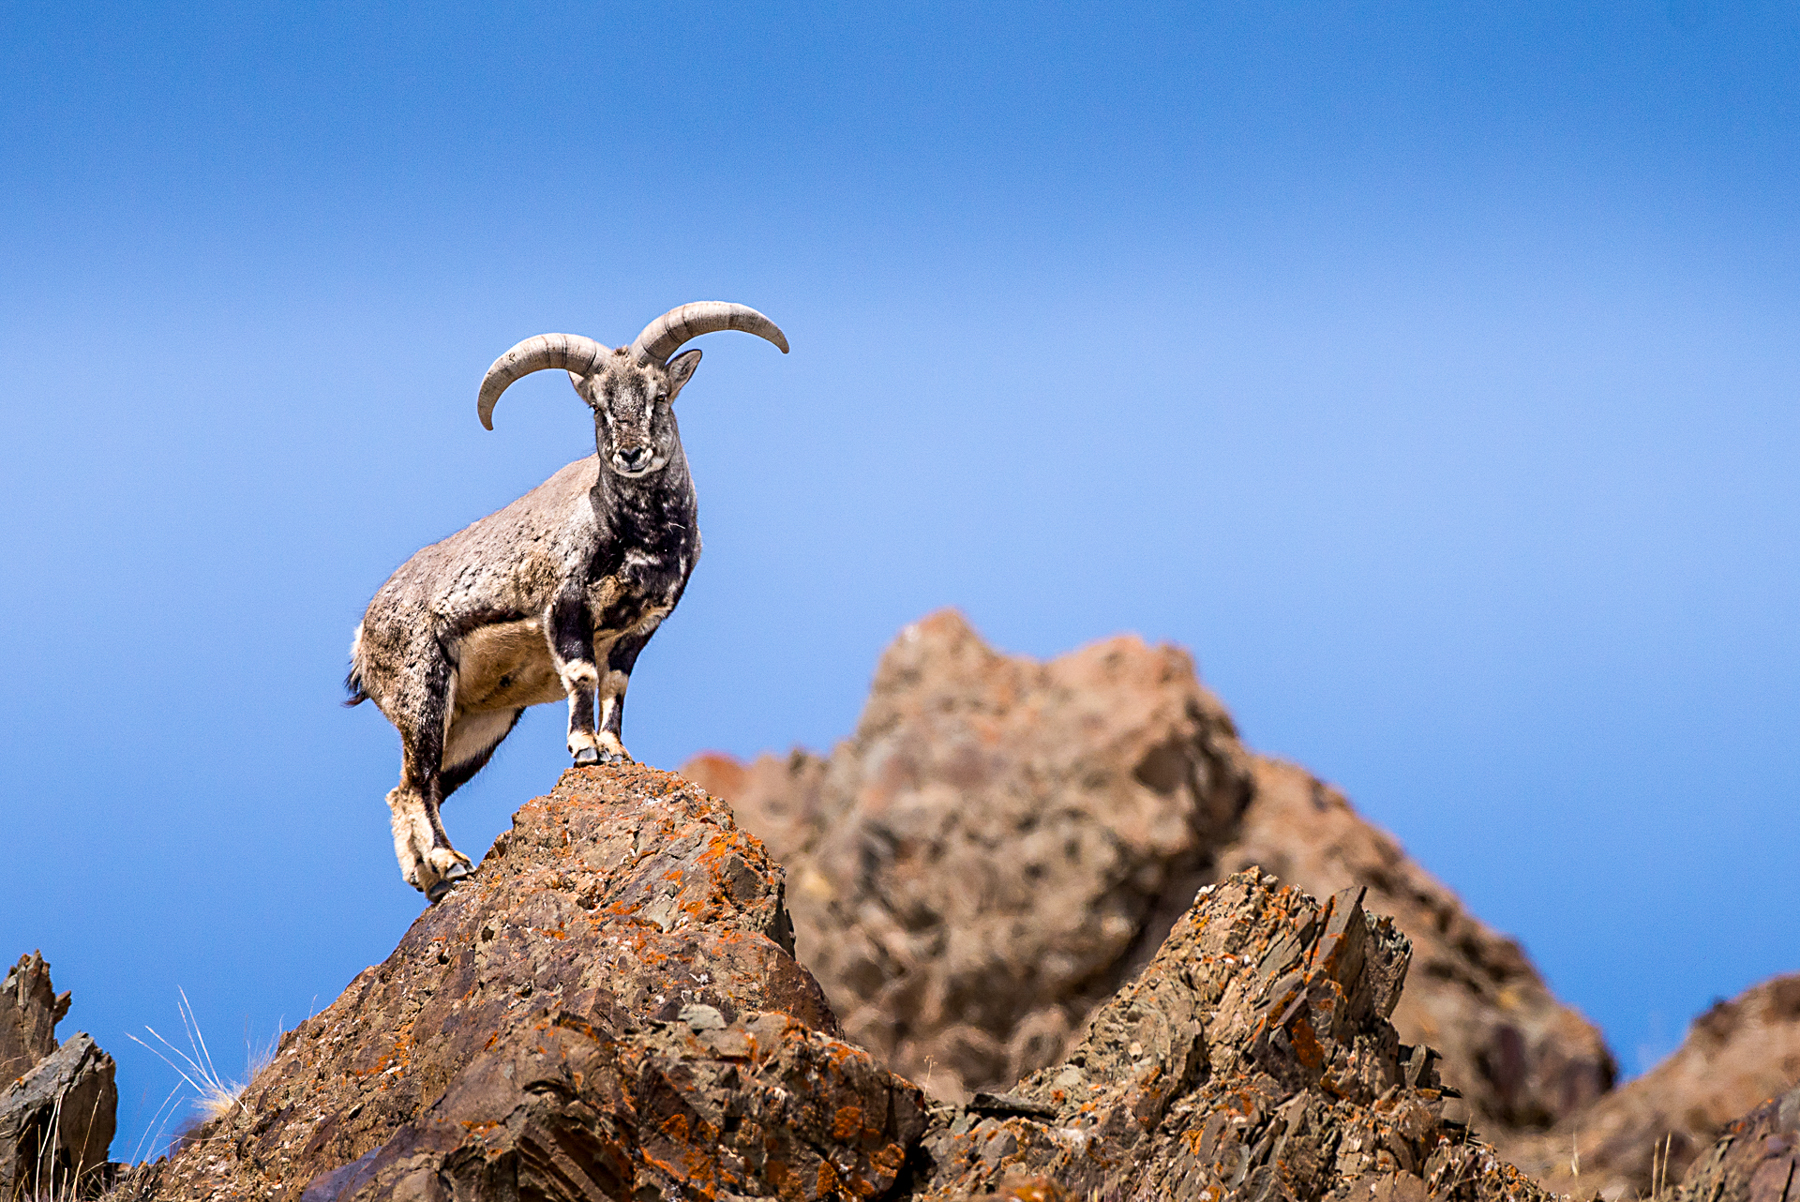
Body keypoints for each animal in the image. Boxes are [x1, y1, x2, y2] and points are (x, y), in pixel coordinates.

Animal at [345, 302, 788, 900]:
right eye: (599, 406)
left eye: (659, 396)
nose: (631, 453)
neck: (637, 533)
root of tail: (362, 642)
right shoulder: (564, 606)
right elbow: (581, 675)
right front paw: (585, 749)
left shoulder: (638, 628)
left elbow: (615, 687)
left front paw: (616, 751)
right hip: (423, 694)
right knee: (417, 784)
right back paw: (449, 862)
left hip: (481, 725)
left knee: (411, 788)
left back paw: (431, 879)